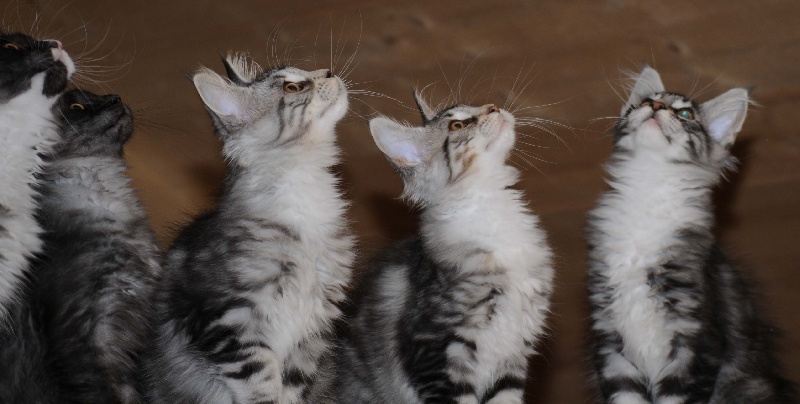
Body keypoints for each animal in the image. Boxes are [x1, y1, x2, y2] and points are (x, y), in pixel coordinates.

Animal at [145, 54, 356, 404]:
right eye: (292, 87)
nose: (329, 72)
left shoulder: (312, 332)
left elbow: (290, 390)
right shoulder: (229, 322)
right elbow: (261, 385)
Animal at [584, 68, 796, 402]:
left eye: (685, 114)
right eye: (645, 101)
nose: (656, 107)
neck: (648, 191)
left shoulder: (697, 343)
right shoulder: (610, 340)